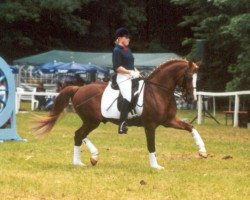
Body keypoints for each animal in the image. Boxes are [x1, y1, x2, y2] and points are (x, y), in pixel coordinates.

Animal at [34, 59, 207, 169]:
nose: (191, 98)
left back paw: (88, 159)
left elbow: (191, 127)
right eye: (188, 77)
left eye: (197, 77)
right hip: (92, 121)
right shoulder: (150, 125)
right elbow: (151, 144)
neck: (158, 90)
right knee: (79, 134)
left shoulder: (169, 121)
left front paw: (202, 151)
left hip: (91, 121)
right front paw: (155, 166)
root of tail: (78, 88)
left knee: (79, 135)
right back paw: (83, 160)